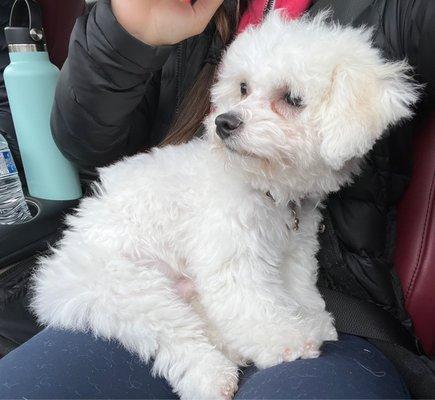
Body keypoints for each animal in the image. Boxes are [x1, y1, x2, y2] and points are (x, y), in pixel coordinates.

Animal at [30, 12, 418, 400]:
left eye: (292, 98)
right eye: (244, 88)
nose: (224, 122)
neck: (266, 187)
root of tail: (53, 276)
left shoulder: (294, 248)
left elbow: (297, 288)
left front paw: (311, 319)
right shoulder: (230, 253)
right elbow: (250, 305)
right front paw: (287, 339)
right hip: (128, 286)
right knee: (175, 336)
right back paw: (211, 375)